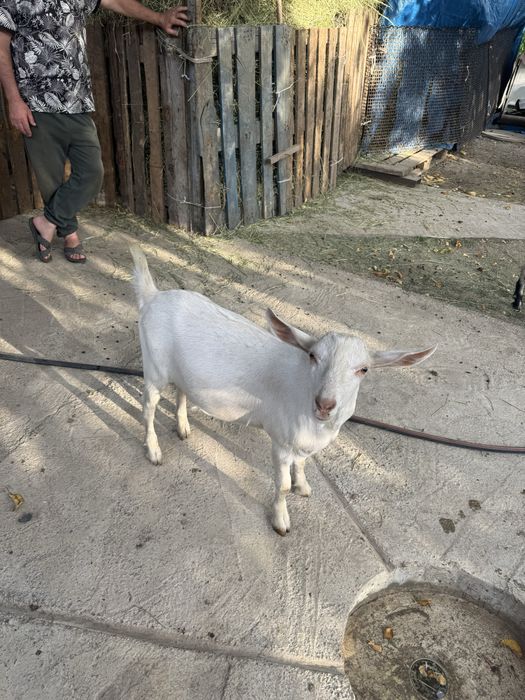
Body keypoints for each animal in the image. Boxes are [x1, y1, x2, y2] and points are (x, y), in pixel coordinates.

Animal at [131, 246, 436, 535]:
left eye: (364, 369)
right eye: (313, 356)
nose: (325, 404)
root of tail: (153, 296)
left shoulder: (303, 443)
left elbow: (302, 465)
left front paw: (304, 486)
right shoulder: (281, 441)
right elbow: (283, 486)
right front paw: (281, 521)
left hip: (182, 371)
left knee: (181, 390)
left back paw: (183, 428)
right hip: (154, 368)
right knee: (148, 407)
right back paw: (154, 451)